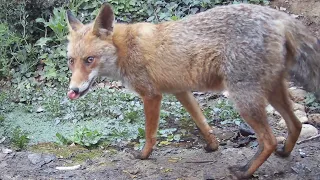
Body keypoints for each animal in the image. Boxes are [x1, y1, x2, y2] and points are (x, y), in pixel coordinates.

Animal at [65, 2, 320, 179]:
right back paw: (284, 153)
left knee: (269, 140)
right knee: (295, 124)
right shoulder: (182, 91)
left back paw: (245, 171)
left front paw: (144, 155)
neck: (124, 48)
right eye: (71, 61)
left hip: (244, 97)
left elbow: (150, 134)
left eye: (89, 60)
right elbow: (202, 122)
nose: (73, 90)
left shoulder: (151, 95)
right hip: (272, 91)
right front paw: (213, 146)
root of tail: (277, 16)